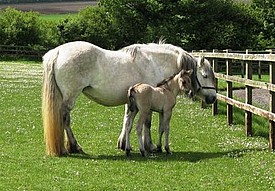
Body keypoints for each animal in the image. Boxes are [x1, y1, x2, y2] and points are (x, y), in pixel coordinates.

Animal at [42, 41, 217, 156]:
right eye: (205, 75)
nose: (213, 98)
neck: (155, 62)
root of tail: (57, 52)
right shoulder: (148, 102)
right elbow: (147, 124)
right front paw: (149, 145)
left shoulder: (132, 102)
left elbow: (128, 121)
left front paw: (124, 144)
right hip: (70, 97)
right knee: (65, 119)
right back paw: (73, 147)